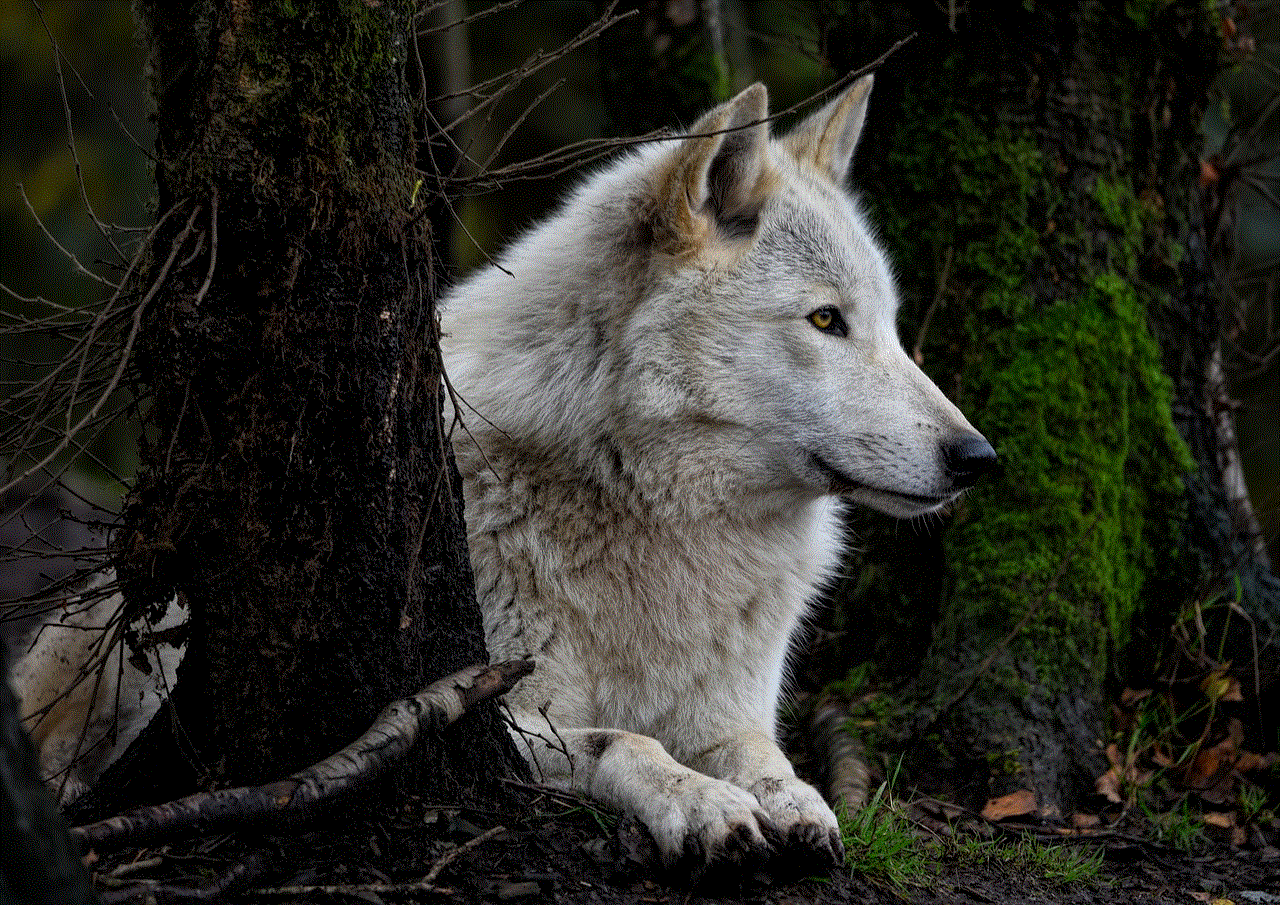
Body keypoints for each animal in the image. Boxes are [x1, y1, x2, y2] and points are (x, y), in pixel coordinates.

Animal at [442, 77, 998, 870]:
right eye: (826, 320)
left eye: (890, 326)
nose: (977, 457)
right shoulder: (501, 713)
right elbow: (628, 741)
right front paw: (703, 805)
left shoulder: (732, 710)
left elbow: (763, 755)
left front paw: (797, 802)